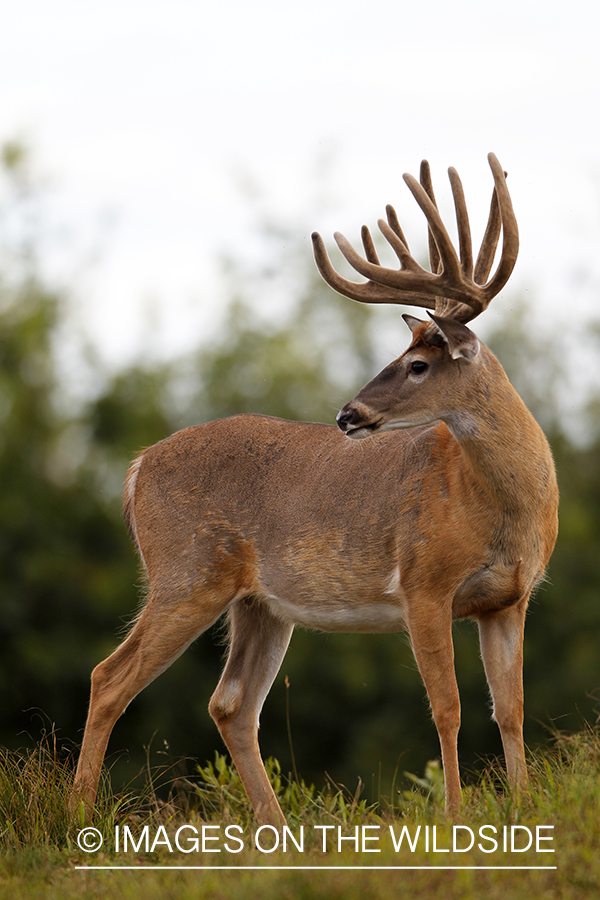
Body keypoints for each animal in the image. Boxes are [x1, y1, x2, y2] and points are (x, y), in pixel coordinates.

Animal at [74, 153, 556, 824]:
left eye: (417, 364)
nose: (348, 415)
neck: (502, 508)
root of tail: (137, 467)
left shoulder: (509, 598)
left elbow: (510, 710)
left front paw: (525, 809)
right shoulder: (423, 584)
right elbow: (448, 708)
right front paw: (456, 817)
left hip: (259, 603)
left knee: (230, 703)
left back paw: (275, 831)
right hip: (188, 570)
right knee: (108, 677)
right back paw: (75, 817)